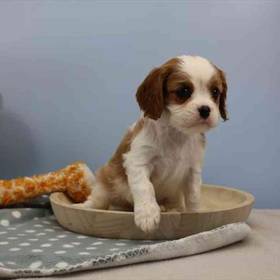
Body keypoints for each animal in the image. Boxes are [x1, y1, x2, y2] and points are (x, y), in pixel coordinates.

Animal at [78, 54, 228, 232]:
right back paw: (85, 207)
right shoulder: (138, 161)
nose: (205, 109)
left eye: (215, 92)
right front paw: (147, 215)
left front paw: (194, 214)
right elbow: (145, 187)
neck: (176, 133)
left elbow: (193, 194)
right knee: (98, 200)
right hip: (106, 180)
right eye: (183, 91)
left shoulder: (193, 169)